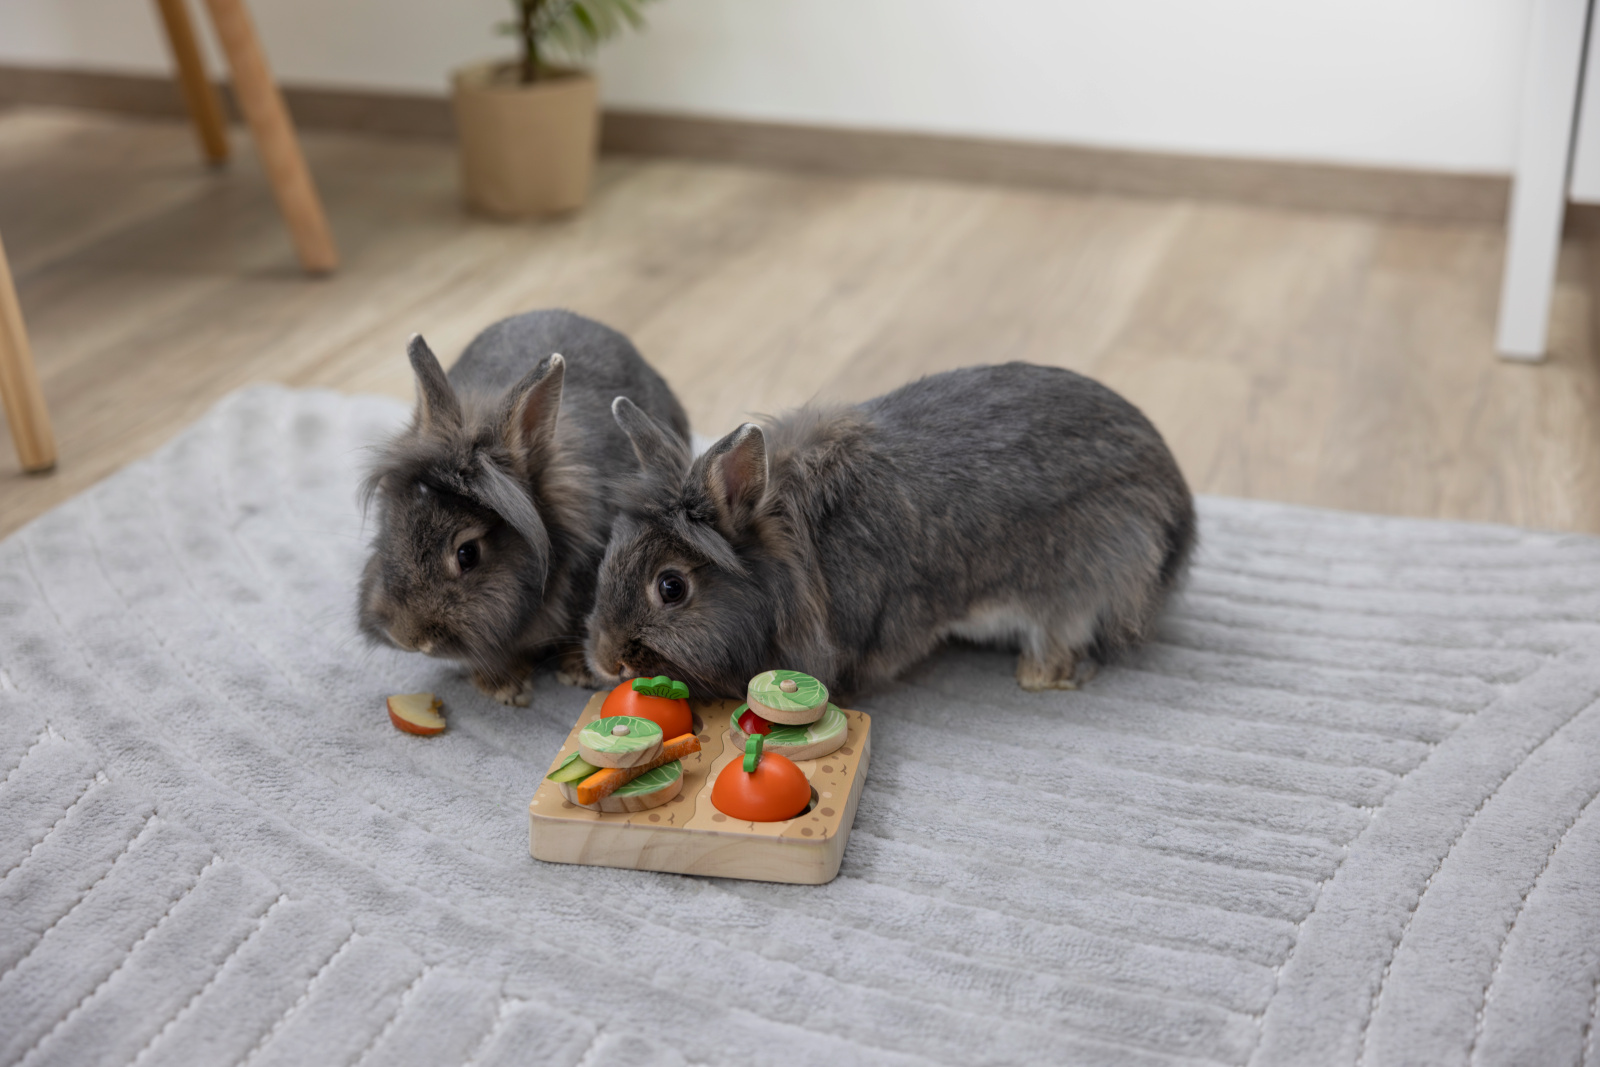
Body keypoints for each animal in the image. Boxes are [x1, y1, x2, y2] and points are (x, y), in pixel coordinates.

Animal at [585, 361, 1194, 701]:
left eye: (671, 587)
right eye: (606, 558)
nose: (608, 660)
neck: (797, 550)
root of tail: (1180, 510)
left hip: (1071, 592)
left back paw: (1042, 674)